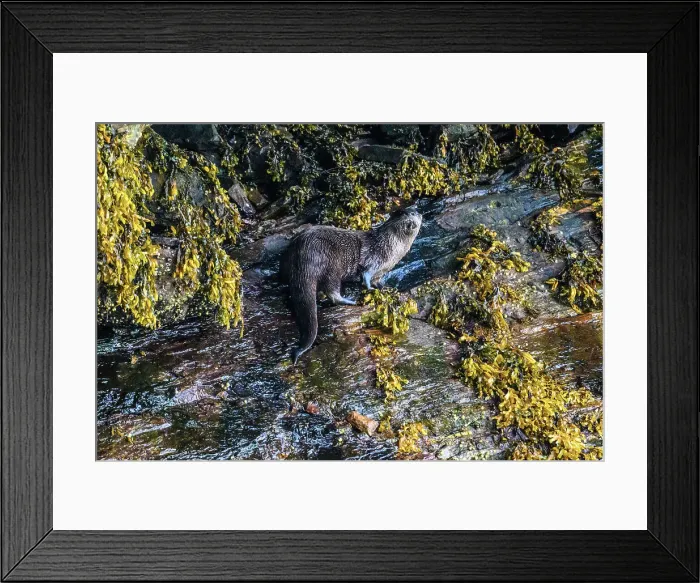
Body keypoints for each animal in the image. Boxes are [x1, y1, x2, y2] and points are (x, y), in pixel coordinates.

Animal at [282, 208, 422, 363]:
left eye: (415, 211)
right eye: (401, 213)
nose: (413, 213)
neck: (391, 247)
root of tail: (302, 253)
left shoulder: (380, 272)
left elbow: (378, 281)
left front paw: (387, 288)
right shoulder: (374, 258)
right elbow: (366, 275)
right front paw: (370, 289)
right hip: (330, 262)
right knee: (331, 290)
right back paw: (351, 301)